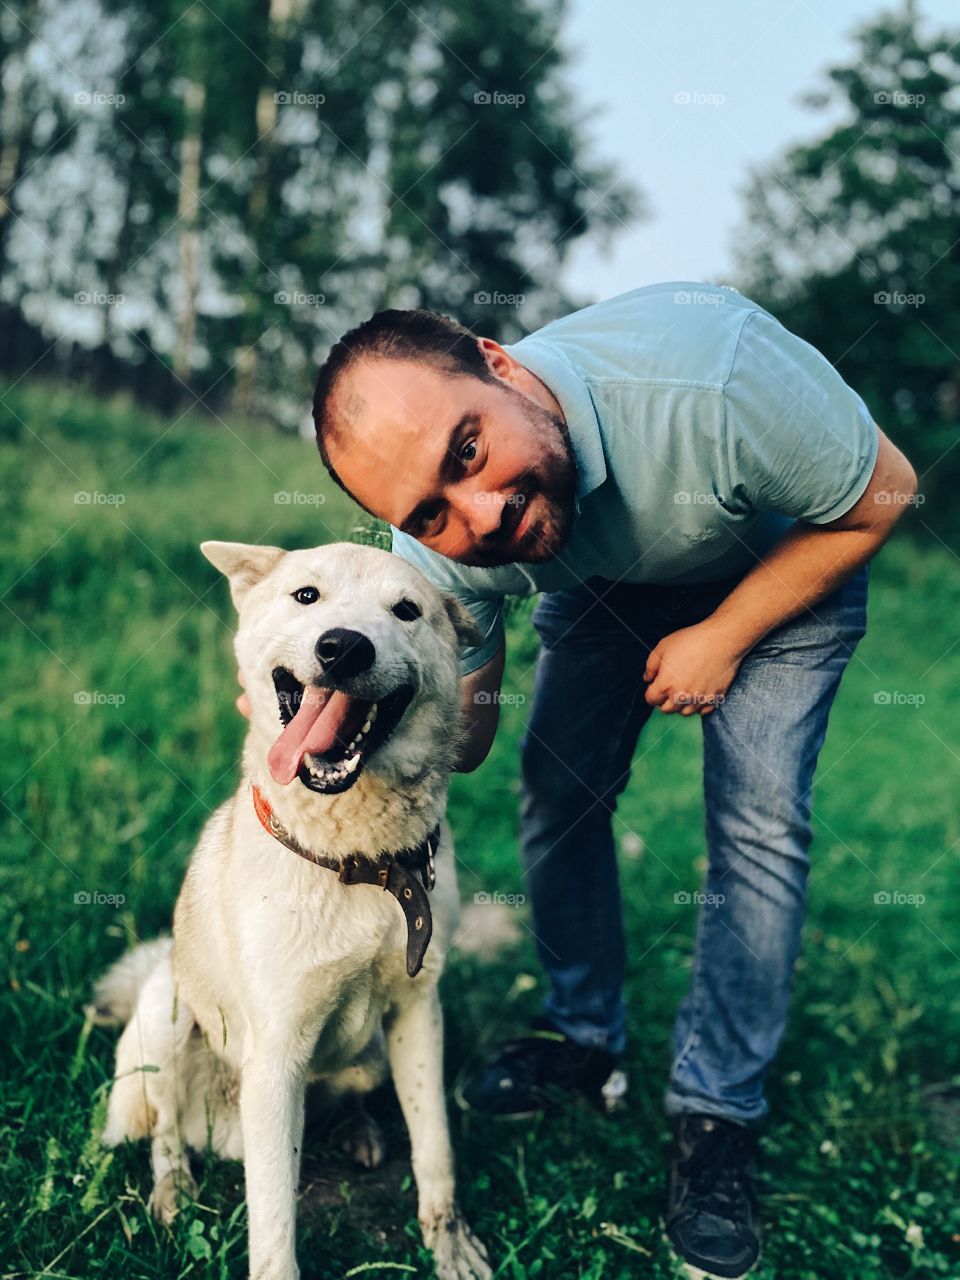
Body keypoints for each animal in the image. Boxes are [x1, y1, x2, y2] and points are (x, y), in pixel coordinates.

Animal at [89, 540, 491, 1280]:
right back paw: (173, 1192)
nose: (343, 646)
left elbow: (436, 1149)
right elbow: (275, 1222)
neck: (360, 863)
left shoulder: (419, 1012)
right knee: (164, 1132)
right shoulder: (276, 1056)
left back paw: (358, 1131)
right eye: (307, 596)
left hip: (366, 1053)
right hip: (167, 1011)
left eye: (406, 610)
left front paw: (449, 1244)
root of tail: (221, 1132)